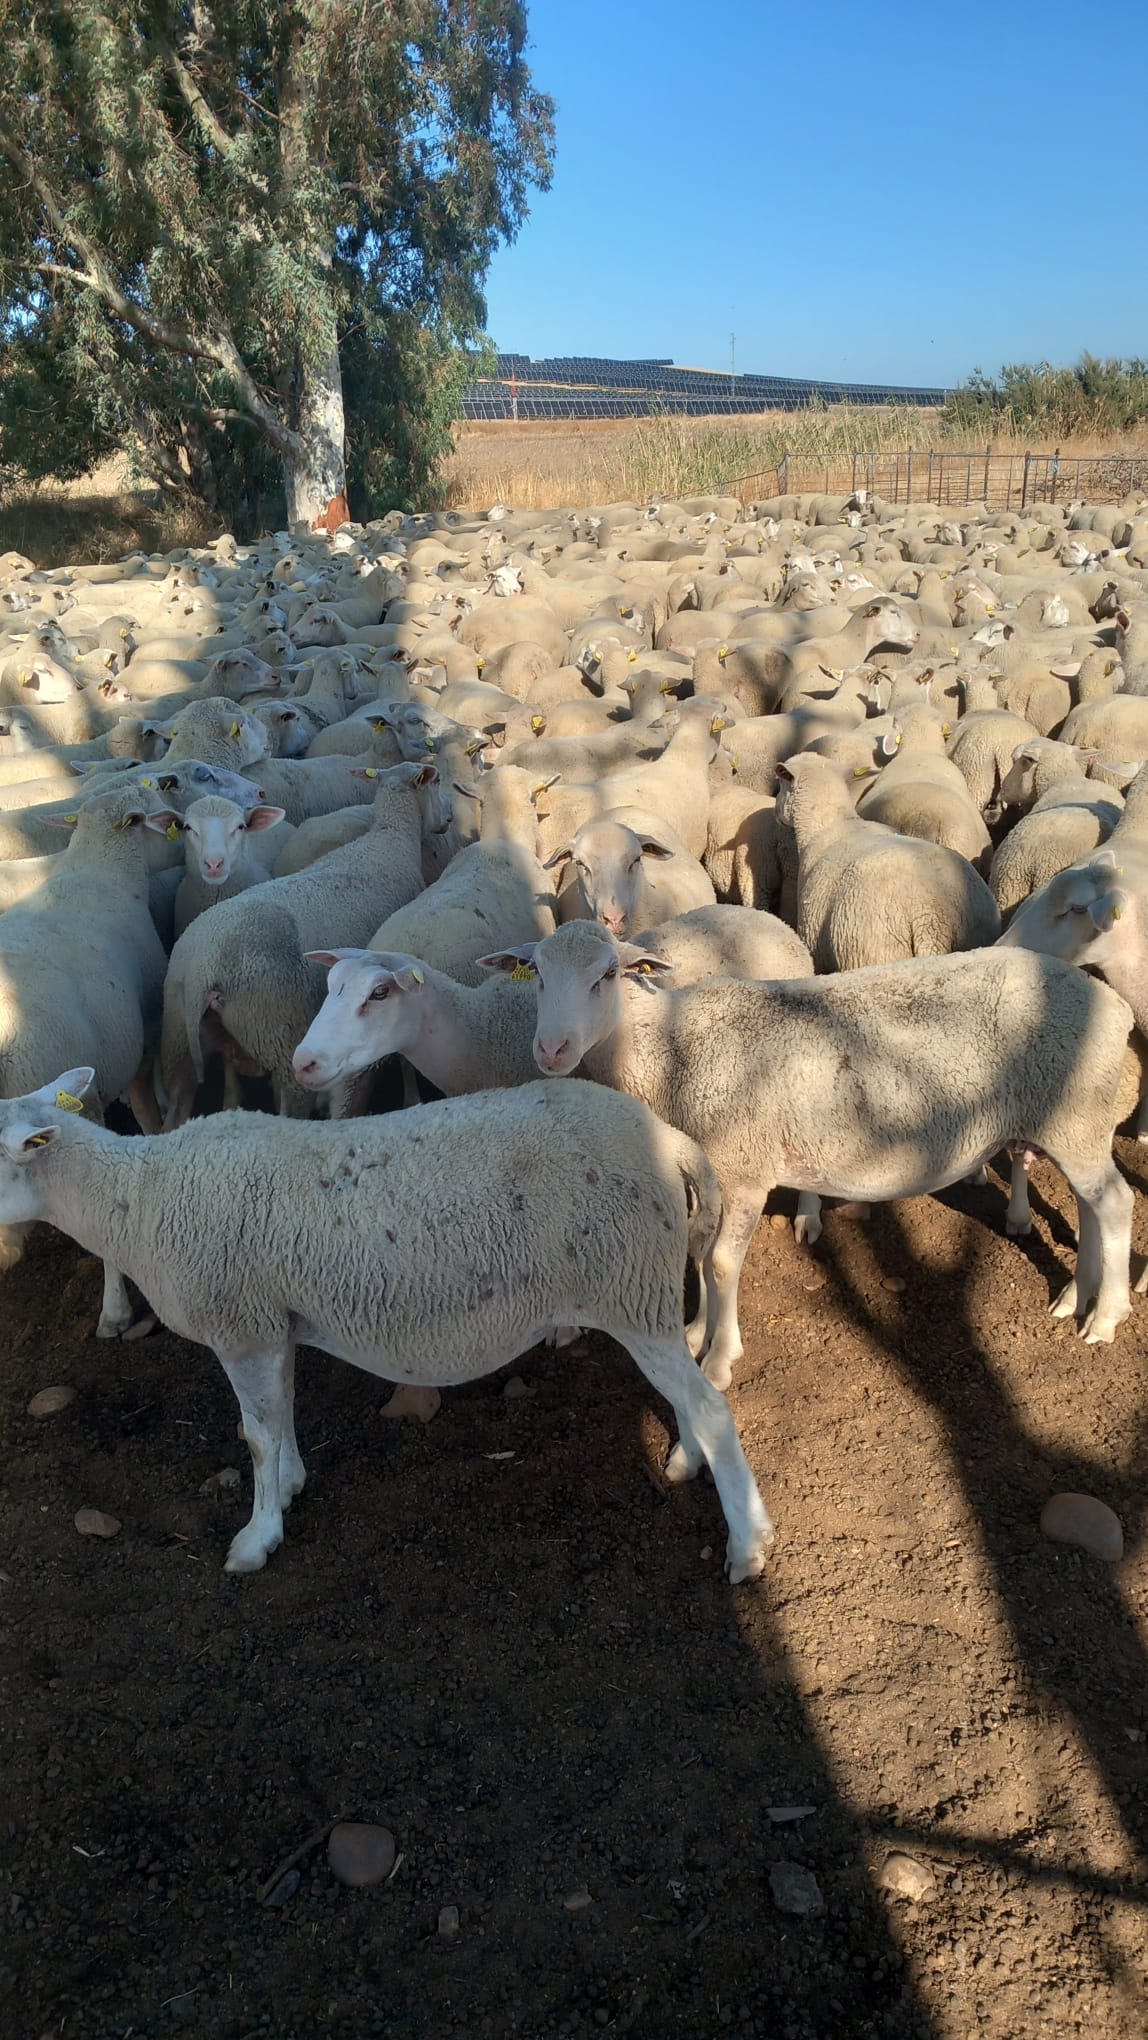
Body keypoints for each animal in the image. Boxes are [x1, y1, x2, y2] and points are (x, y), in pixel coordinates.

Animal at [0, 1068, 772, 1579]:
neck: (138, 1198)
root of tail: (672, 1140)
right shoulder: (273, 1322)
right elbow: (281, 1415)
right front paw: (289, 1487)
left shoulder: (240, 1323)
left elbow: (255, 1437)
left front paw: (255, 1539)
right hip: (639, 1293)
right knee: (691, 1401)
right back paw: (687, 1464)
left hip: (626, 1286)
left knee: (711, 1407)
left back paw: (747, 1547)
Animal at [498, 923, 1139, 1386]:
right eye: (537, 976)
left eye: (607, 974)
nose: (551, 1050)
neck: (671, 1048)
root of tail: (1113, 1005)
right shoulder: (709, 1170)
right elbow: (699, 1253)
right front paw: (697, 1330)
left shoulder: (745, 1168)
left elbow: (722, 1263)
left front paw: (720, 1357)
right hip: (1072, 1124)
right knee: (1091, 1205)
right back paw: (1074, 1298)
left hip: (1077, 1116)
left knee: (1115, 1203)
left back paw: (1106, 1317)